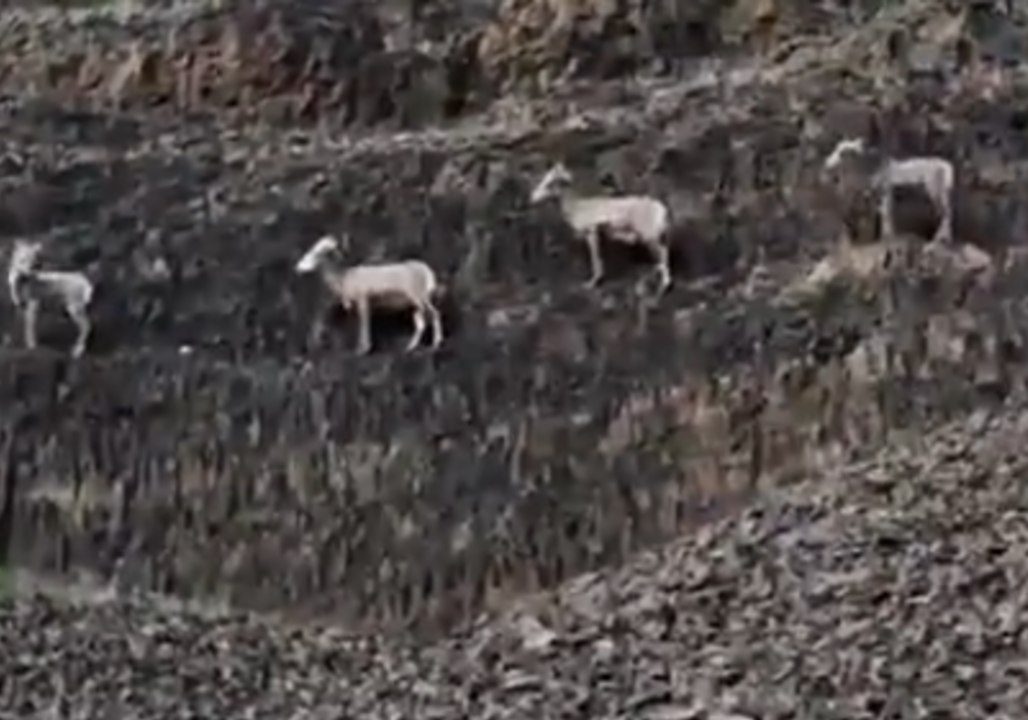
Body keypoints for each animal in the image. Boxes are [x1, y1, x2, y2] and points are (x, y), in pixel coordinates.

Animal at [295, 235, 444, 356]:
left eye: (319, 253)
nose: (299, 267)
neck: (344, 279)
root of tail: (426, 271)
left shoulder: (363, 301)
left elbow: (364, 323)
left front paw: (363, 350)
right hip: (415, 306)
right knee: (420, 324)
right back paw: (409, 348)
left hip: (420, 299)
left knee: (435, 314)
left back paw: (436, 344)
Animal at [529, 162, 672, 293]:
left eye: (549, 184)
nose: (532, 199)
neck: (577, 208)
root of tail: (660, 208)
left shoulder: (591, 233)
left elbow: (595, 258)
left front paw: (592, 283)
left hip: (650, 237)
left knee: (663, 254)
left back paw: (664, 285)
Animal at [823, 137, 955, 245]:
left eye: (842, 153)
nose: (827, 164)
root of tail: (945, 167)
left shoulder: (886, 194)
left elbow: (886, 215)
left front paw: (888, 237)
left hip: (935, 194)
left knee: (946, 213)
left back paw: (941, 239)